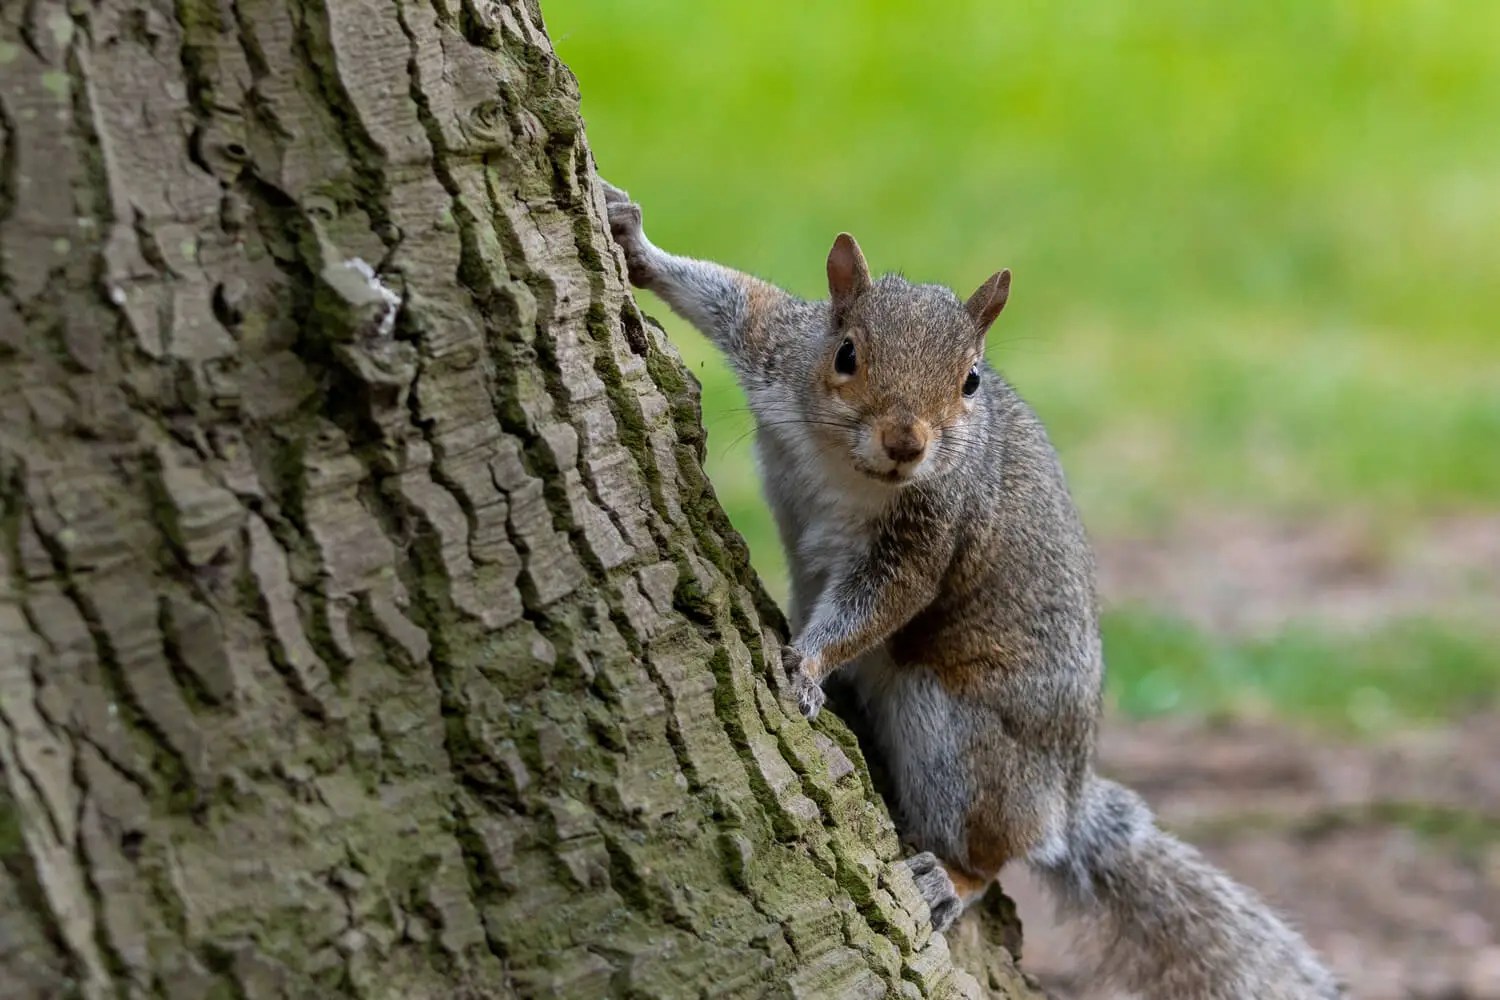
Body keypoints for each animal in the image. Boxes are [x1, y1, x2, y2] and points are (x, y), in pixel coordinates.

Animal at [600, 178, 1342, 1000]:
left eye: (971, 381)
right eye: (846, 353)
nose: (907, 442)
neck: (847, 465)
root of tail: (1065, 801)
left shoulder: (934, 528)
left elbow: (883, 602)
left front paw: (805, 662)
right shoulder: (779, 347)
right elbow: (730, 294)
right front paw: (631, 238)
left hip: (958, 738)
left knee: (992, 853)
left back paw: (945, 879)